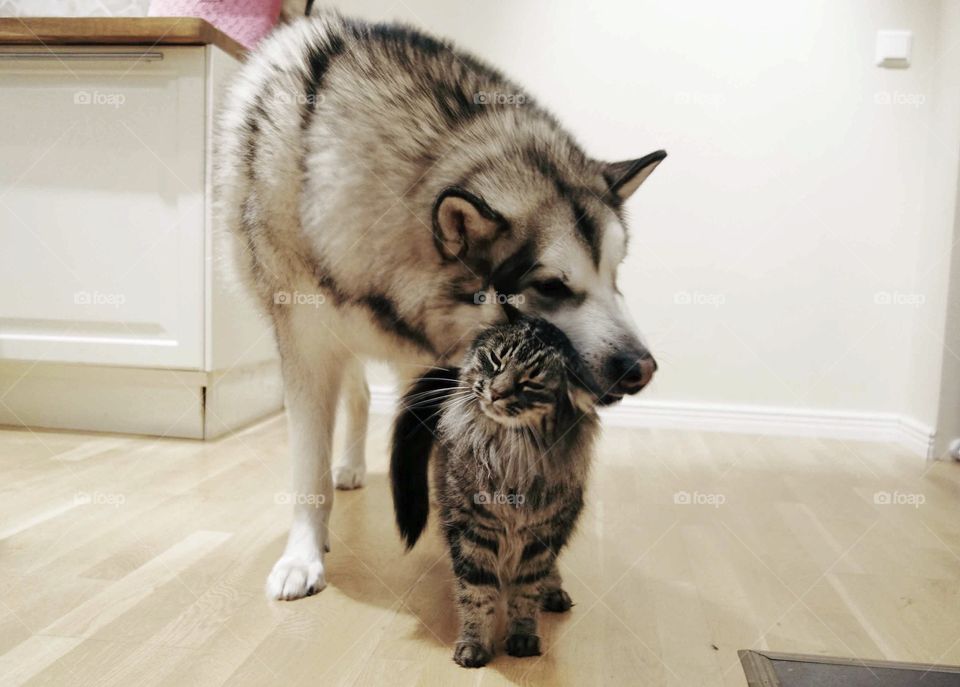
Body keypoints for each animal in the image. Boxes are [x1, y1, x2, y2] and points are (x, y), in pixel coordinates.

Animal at [216, 12, 668, 600]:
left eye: (615, 274)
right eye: (551, 286)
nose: (642, 368)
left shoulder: (435, 363)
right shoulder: (308, 351)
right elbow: (309, 472)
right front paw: (303, 555)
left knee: (362, 394)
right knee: (354, 391)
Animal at [390, 314, 600, 668]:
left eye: (531, 381)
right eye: (495, 360)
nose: (497, 392)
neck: (508, 452)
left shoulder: (540, 537)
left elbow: (526, 593)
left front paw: (523, 637)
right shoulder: (473, 532)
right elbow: (477, 594)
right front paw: (474, 645)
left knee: (552, 567)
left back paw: (554, 592)